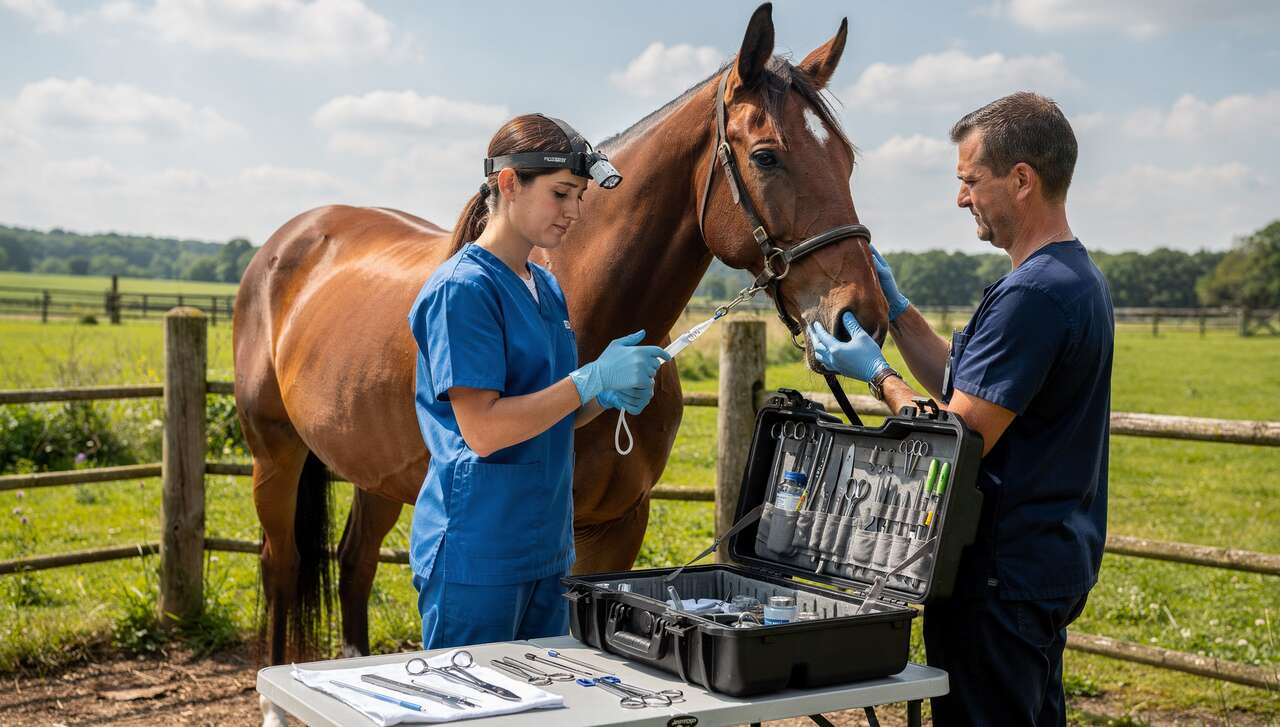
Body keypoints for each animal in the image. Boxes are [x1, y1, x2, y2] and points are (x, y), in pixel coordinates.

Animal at [233, 1, 886, 693]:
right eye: (766, 157)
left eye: (846, 161)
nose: (861, 318)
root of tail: (289, 240)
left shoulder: (618, 525)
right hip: (274, 454)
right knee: (281, 565)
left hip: (375, 472)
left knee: (354, 561)